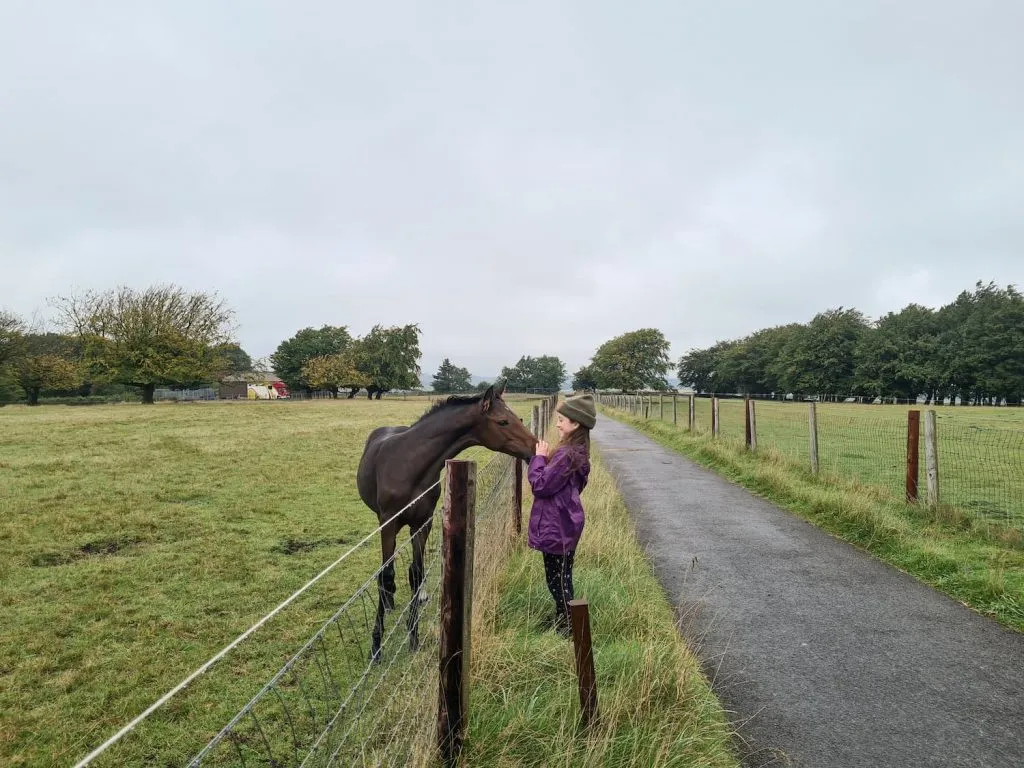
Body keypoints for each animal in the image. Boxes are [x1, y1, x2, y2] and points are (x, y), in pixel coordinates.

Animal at [356, 382, 538, 661]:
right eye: (503, 421)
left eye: (517, 418)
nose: (536, 447)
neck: (411, 465)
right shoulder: (388, 524)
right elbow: (386, 575)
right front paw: (376, 645)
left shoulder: (423, 523)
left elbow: (416, 574)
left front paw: (413, 635)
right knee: (387, 574)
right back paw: (388, 604)